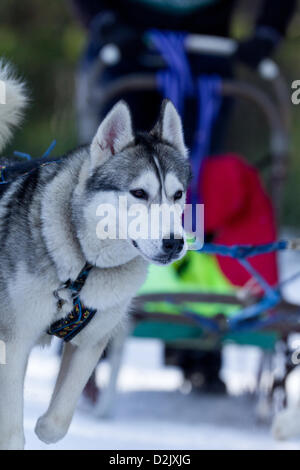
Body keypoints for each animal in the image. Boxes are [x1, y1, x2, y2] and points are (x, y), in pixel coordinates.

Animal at [0, 64, 191, 450]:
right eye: (139, 193)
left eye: (177, 195)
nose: (174, 243)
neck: (83, 267)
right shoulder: (16, 338)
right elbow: (12, 432)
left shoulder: (91, 342)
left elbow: (56, 423)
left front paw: (44, 425)